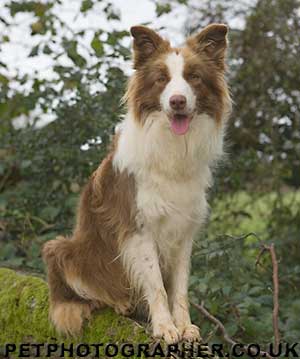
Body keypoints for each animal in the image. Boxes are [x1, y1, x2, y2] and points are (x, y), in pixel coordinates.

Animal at [42, 23, 231, 344]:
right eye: (161, 79)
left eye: (193, 77)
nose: (177, 101)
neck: (172, 147)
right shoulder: (138, 228)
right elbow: (155, 284)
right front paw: (165, 327)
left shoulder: (184, 231)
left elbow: (179, 287)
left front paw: (185, 326)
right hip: (62, 248)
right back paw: (117, 302)